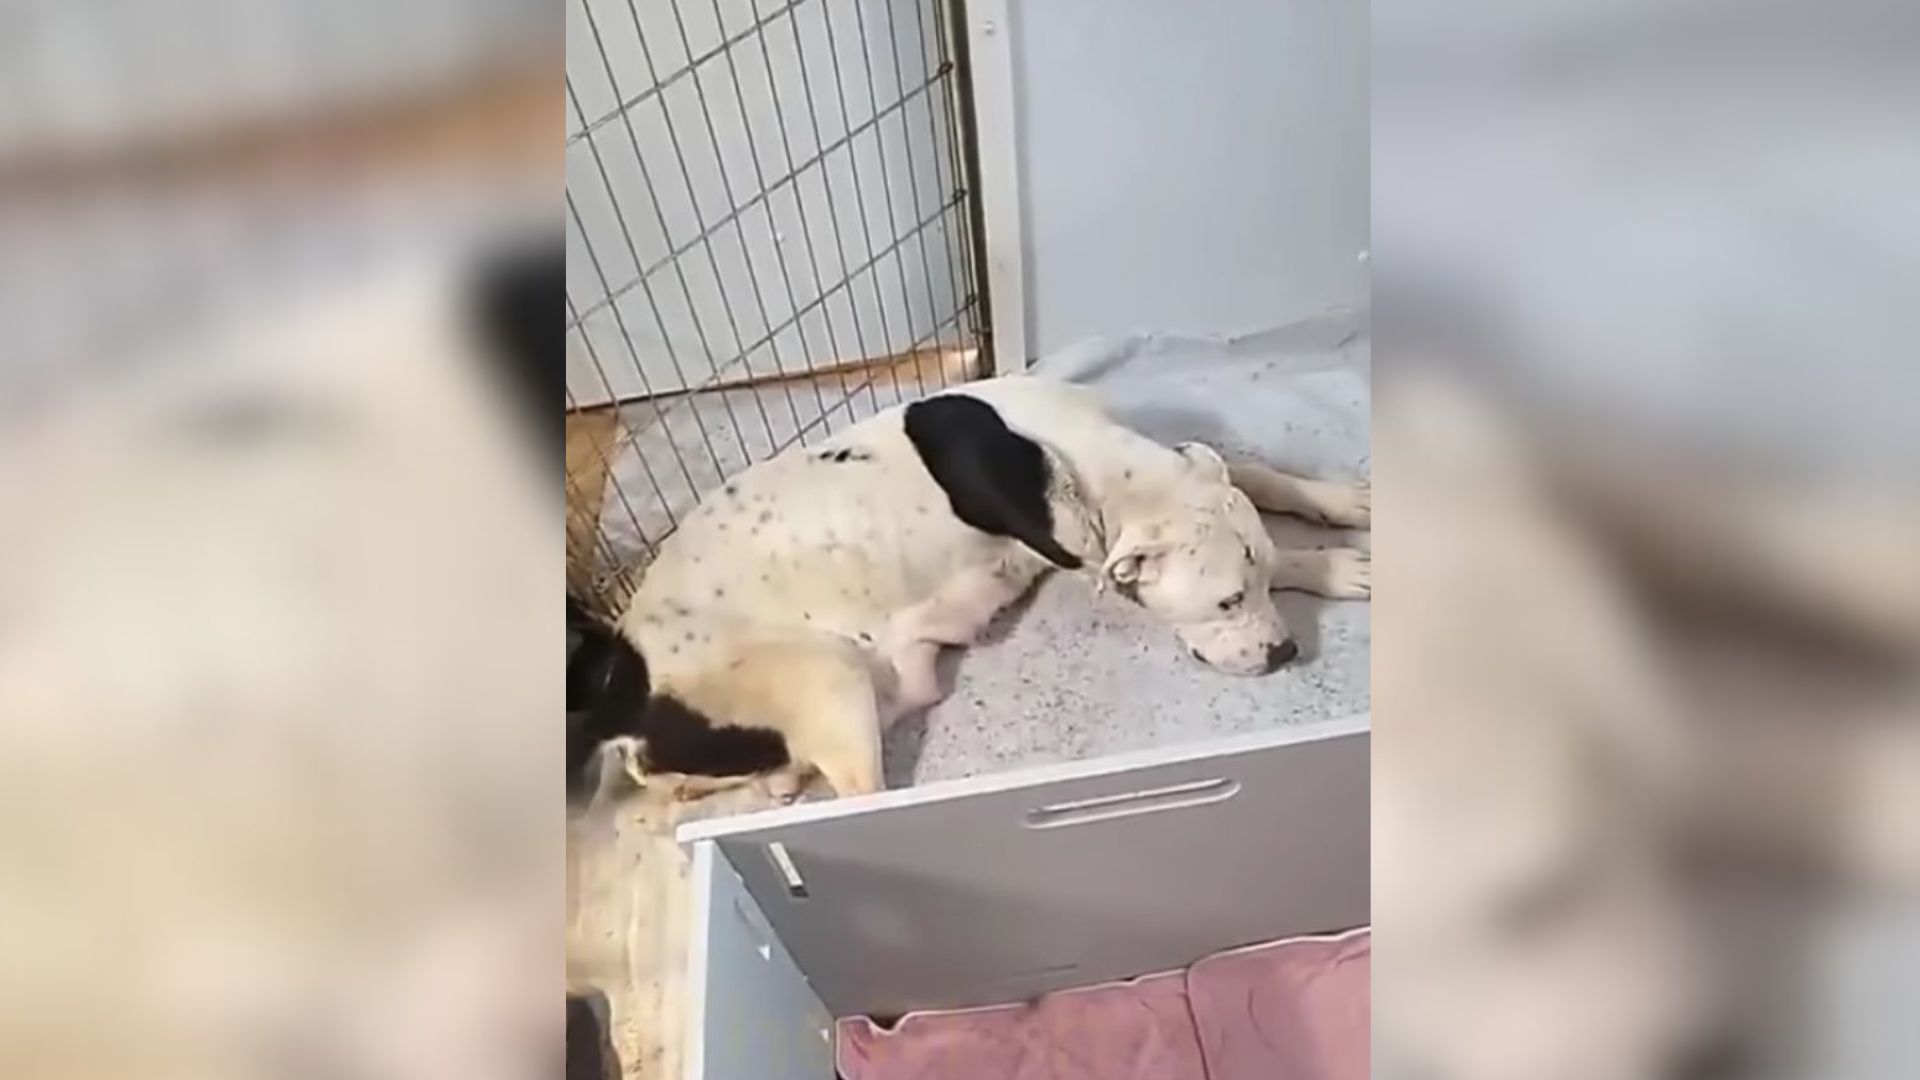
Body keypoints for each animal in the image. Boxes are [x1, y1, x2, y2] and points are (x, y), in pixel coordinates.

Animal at [599, 374, 1367, 795]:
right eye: (1228, 601)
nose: (1285, 653)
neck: (1069, 450)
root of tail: (631, 721)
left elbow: (1258, 475)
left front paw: (1331, 514)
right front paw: (1326, 563)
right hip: (826, 674)